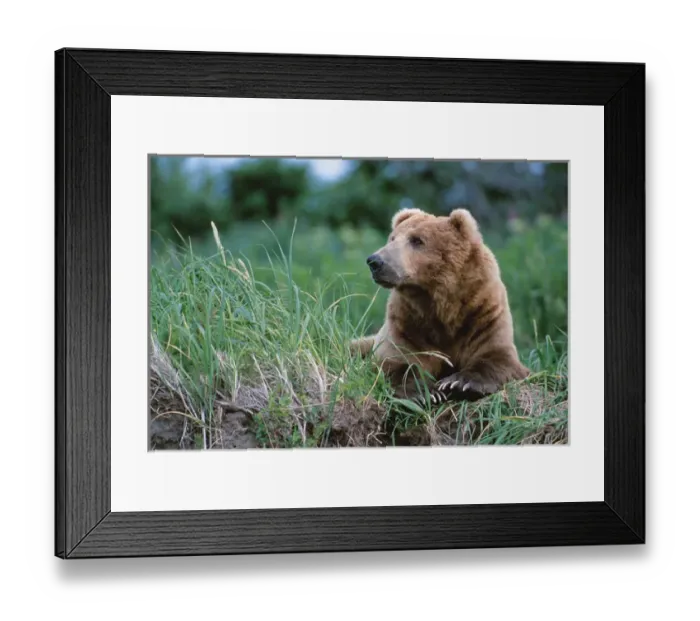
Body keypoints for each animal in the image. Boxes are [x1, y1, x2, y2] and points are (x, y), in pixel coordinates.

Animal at [351, 207, 529, 404]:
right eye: (392, 238)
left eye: (417, 240)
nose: (375, 261)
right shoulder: (406, 321)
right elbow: (396, 362)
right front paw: (428, 393)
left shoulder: (483, 312)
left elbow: (497, 356)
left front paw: (460, 383)